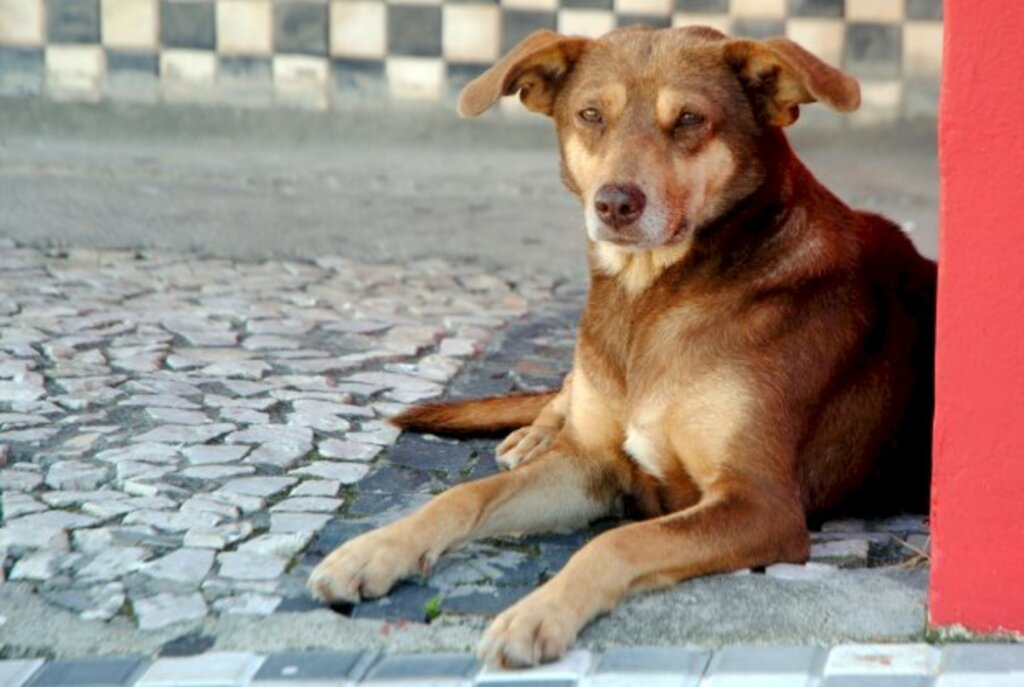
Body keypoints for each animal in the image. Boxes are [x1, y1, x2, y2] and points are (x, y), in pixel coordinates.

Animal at [305, 25, 937, 667]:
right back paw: (533, 433)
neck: (648, 298)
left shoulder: (761, 503)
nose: (614, 204)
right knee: (561, 393)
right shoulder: (590, 464)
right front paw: (373, 550)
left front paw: (538, 613)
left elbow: (619, 543)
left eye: (689, 119)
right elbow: (464, 496)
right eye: (590, 115)